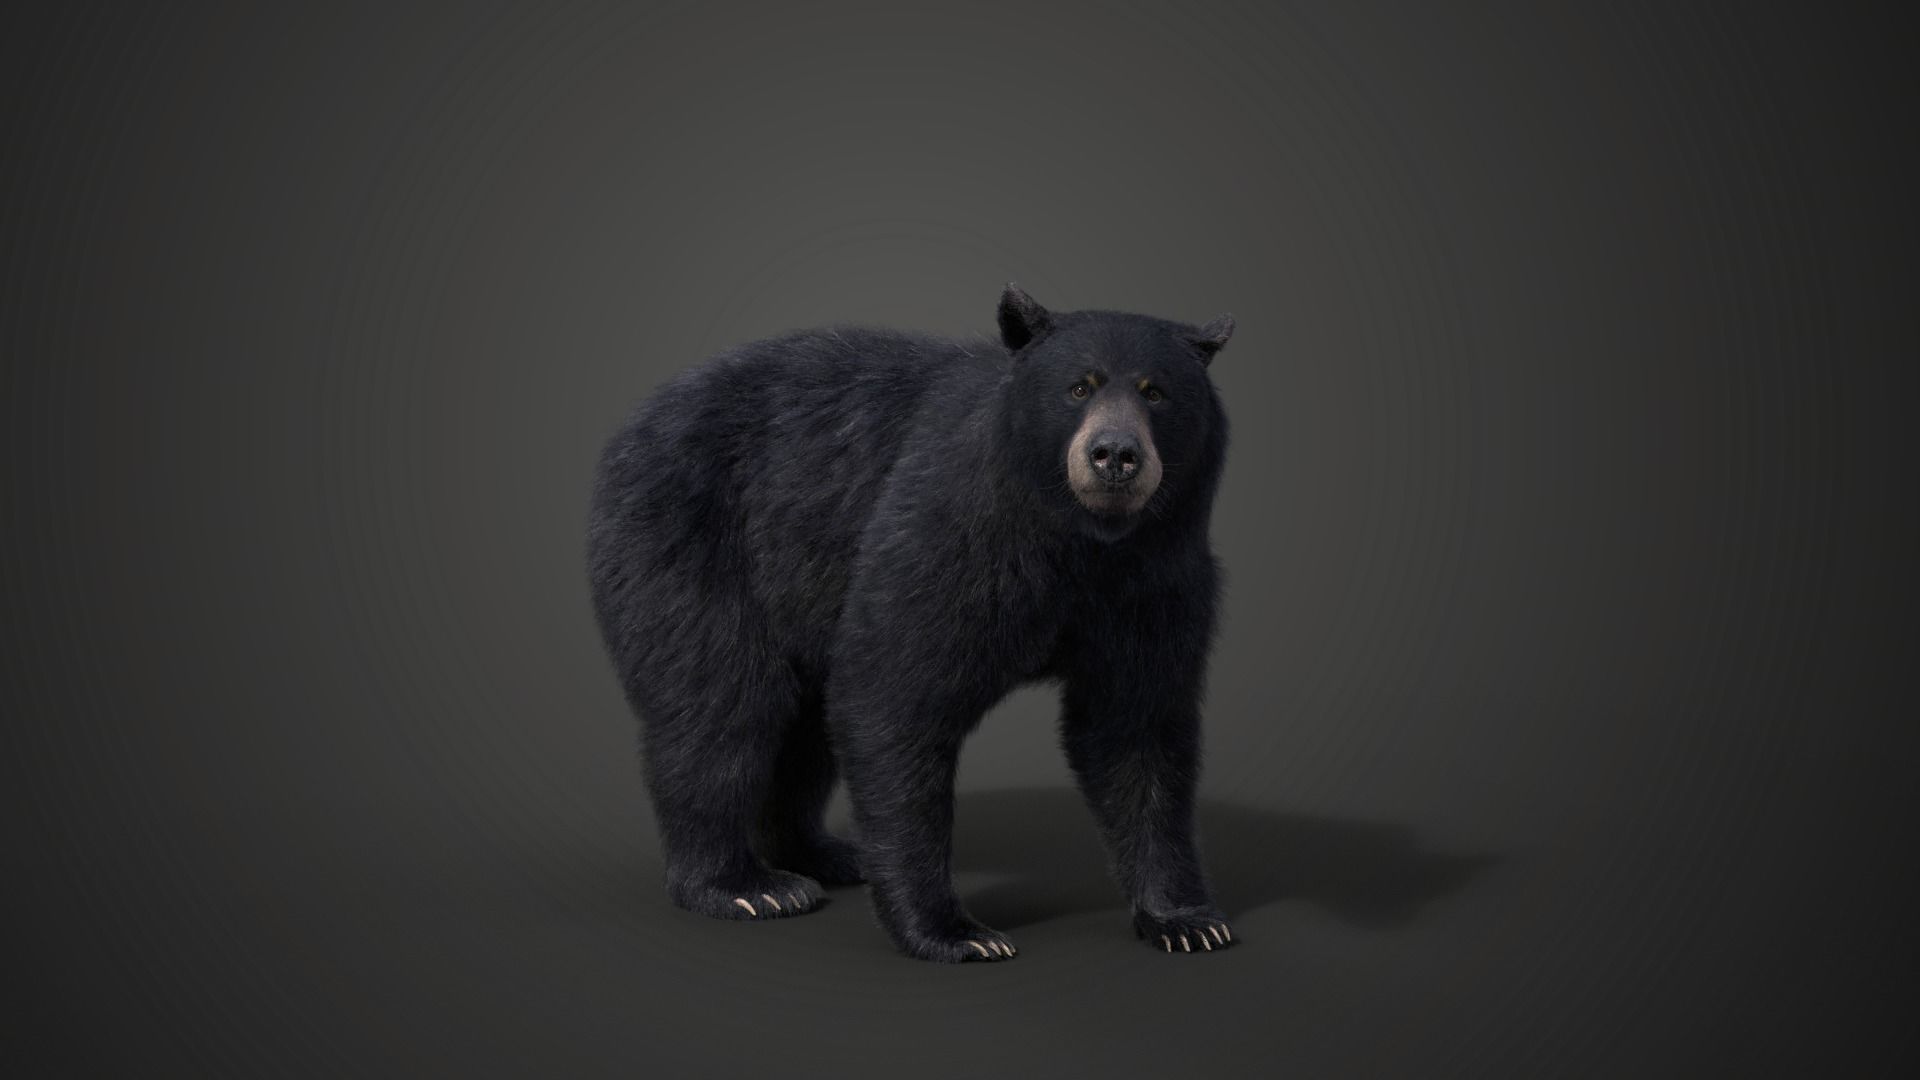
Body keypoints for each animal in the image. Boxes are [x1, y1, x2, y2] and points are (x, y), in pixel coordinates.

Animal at [586, 284, 1237, 961]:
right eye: (1079, 387)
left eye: (1155, 391)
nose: (1114, 455)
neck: (1082, 543)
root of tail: (632, 425)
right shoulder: (952, 535)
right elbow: (896, 694)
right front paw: (956, 931)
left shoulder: (1156, 581)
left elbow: (1137, 729)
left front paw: (1187, 919)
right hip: (694, 542)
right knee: (723, 705)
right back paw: (745, 885)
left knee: (803, 725)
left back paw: (825, 855)